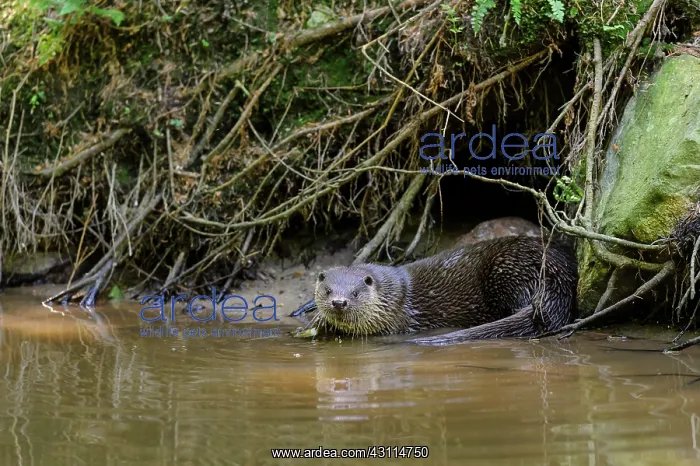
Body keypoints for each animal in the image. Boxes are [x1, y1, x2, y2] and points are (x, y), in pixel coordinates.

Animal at [290, 236, 577, 345]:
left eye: (355, 293)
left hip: (507, 269)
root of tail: (557, 280)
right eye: (328, 291)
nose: (339, 302)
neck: (397, 296)